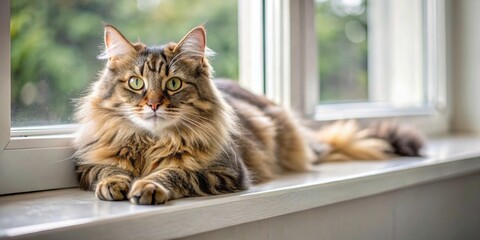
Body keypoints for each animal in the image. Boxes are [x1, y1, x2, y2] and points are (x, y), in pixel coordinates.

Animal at [72, 25, 424, 204]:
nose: (154, 104)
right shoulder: (88, 165)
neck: (152, 143)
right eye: (136, 83)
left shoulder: (226, 171)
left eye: (173, 84)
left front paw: (148, 186)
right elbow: (107, 169)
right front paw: (116, 183)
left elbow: (175, 172)